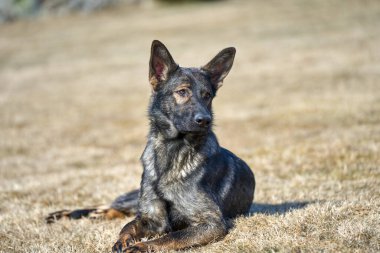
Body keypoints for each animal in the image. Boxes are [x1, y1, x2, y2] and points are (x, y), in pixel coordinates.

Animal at [46, 41, 255, 253]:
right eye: (182, 92)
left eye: (207, 96)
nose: (205, 120)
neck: (172, 150)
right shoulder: (151, 216)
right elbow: (128, 226)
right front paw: (122, 241)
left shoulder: (211, 223)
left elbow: (172, 236)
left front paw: (139, 246)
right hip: (134, 199)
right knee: (113, 207)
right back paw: (62, 214)